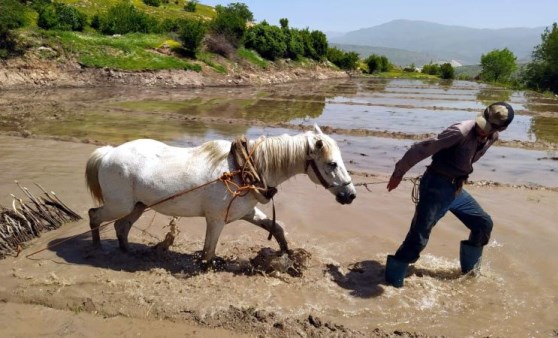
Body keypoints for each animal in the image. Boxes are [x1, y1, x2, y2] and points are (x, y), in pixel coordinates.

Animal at [85, 125, 356, 262]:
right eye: (332, 164)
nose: (350, 195)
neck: (243, 169)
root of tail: (108, 153)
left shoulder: (246, 212)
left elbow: (277, 228)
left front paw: (287, 253)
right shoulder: (216, 220)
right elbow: (208, 253)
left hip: (138, 206)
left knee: (121, 227)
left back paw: (127, 251)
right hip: (120, 205)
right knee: (94, 215)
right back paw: (97, 248)